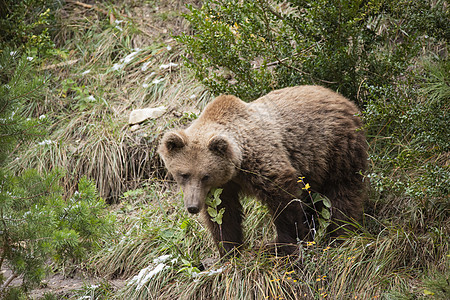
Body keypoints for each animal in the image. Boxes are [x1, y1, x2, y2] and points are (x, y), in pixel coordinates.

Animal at [157, 85, 366, 256]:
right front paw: (229, 250)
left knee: (343, 192)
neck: (237, 165)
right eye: (183, 174)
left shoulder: (261, 161)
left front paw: (285, 243)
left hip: (337, 147)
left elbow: (283, 199)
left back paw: (340, 233)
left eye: (205, 176)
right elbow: (223, 213)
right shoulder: (223, 186)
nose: (192, 206)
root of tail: (343, 98)